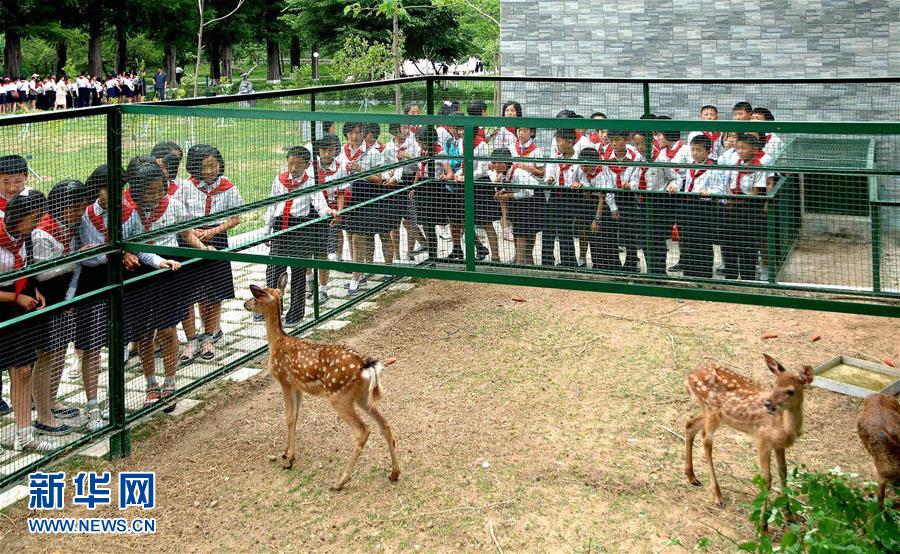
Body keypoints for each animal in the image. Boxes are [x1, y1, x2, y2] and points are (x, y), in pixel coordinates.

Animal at [246, 272, 400, 488]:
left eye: (255, 298)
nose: (245, 304)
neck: (277, 342)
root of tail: (366, 366)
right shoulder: (298, 387)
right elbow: (296, 417)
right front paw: (287, 453)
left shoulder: (285, 381)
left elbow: (289, 417)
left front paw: (289, 460)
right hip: (362, 396)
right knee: (385, 424)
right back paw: (394, 473)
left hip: (339, 397)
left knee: (362, 431)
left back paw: (340, 481)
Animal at [684, 356, 816, 506]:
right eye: (773, 385)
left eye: (790, 391)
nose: (768, 403)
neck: (784, 428)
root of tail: (689, 377)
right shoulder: (761, 439)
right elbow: (767, 479)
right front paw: (764, 512)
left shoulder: (779, 445)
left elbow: (783, 472)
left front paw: (788, 511)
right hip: (711, 411)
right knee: (706, 441)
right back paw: (718, 496)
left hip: (712, 413)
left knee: (690, 424)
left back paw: (692, 477)